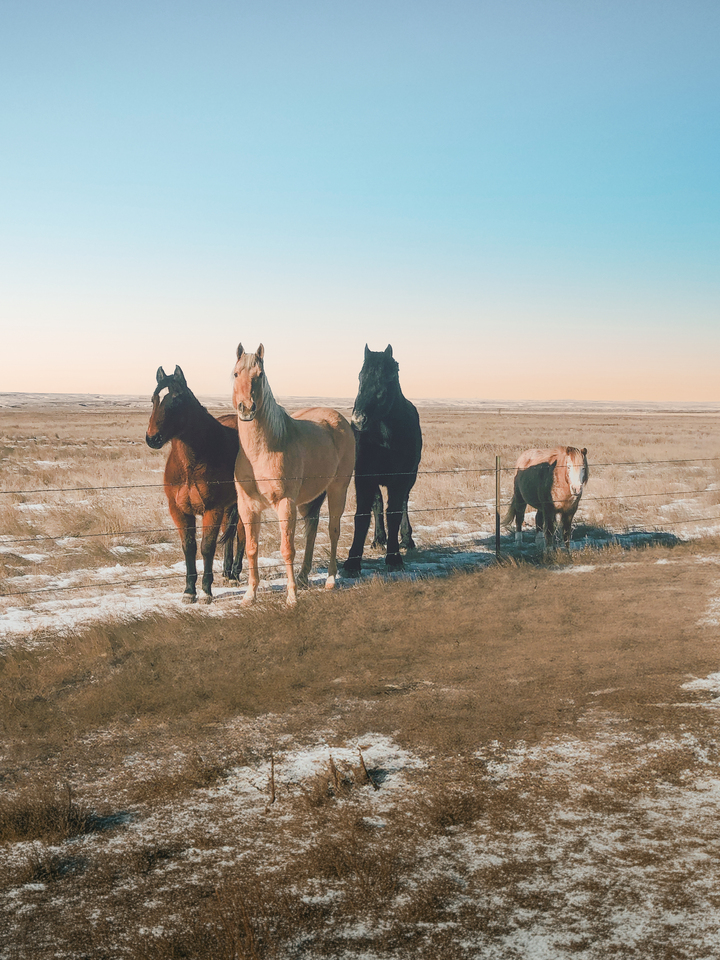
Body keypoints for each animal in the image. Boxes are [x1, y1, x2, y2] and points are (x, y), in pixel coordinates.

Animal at [145, 365, 244, 603]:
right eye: (153, 399)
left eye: (177, 400)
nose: (153, 438)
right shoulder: (179, 511)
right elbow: (188, 548)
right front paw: (189, 591)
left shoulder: (212, 509)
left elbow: (207, 547)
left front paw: (206, 590)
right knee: (230, 534)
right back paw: (228, 573)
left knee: (243, 534)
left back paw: (236, 573)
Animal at [231, 343, 355, 606]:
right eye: (236, 374)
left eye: (260, 375)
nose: (246, 409)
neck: (262, 450)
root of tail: (338, 419)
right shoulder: (247, 507)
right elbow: (251, 548)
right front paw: (250, 595)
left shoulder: (285, 504)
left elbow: (287, 549)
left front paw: (291, 597)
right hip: (310, 499)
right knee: (311, 531)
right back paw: (303, 576)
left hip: (337, 490)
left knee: (333, 531)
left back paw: (330, 580)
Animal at [342, 344, 423, 575]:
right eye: (361, 376)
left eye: (388, 378)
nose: (358, 420)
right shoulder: (364, 477)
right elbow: (362, 515)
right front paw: (352, 561)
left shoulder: (400, 479)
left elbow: (394, 513)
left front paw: (394, 557)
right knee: (377, 504)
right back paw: (379, 539)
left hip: (410, 478)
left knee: (403, 503)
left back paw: (406, 539)